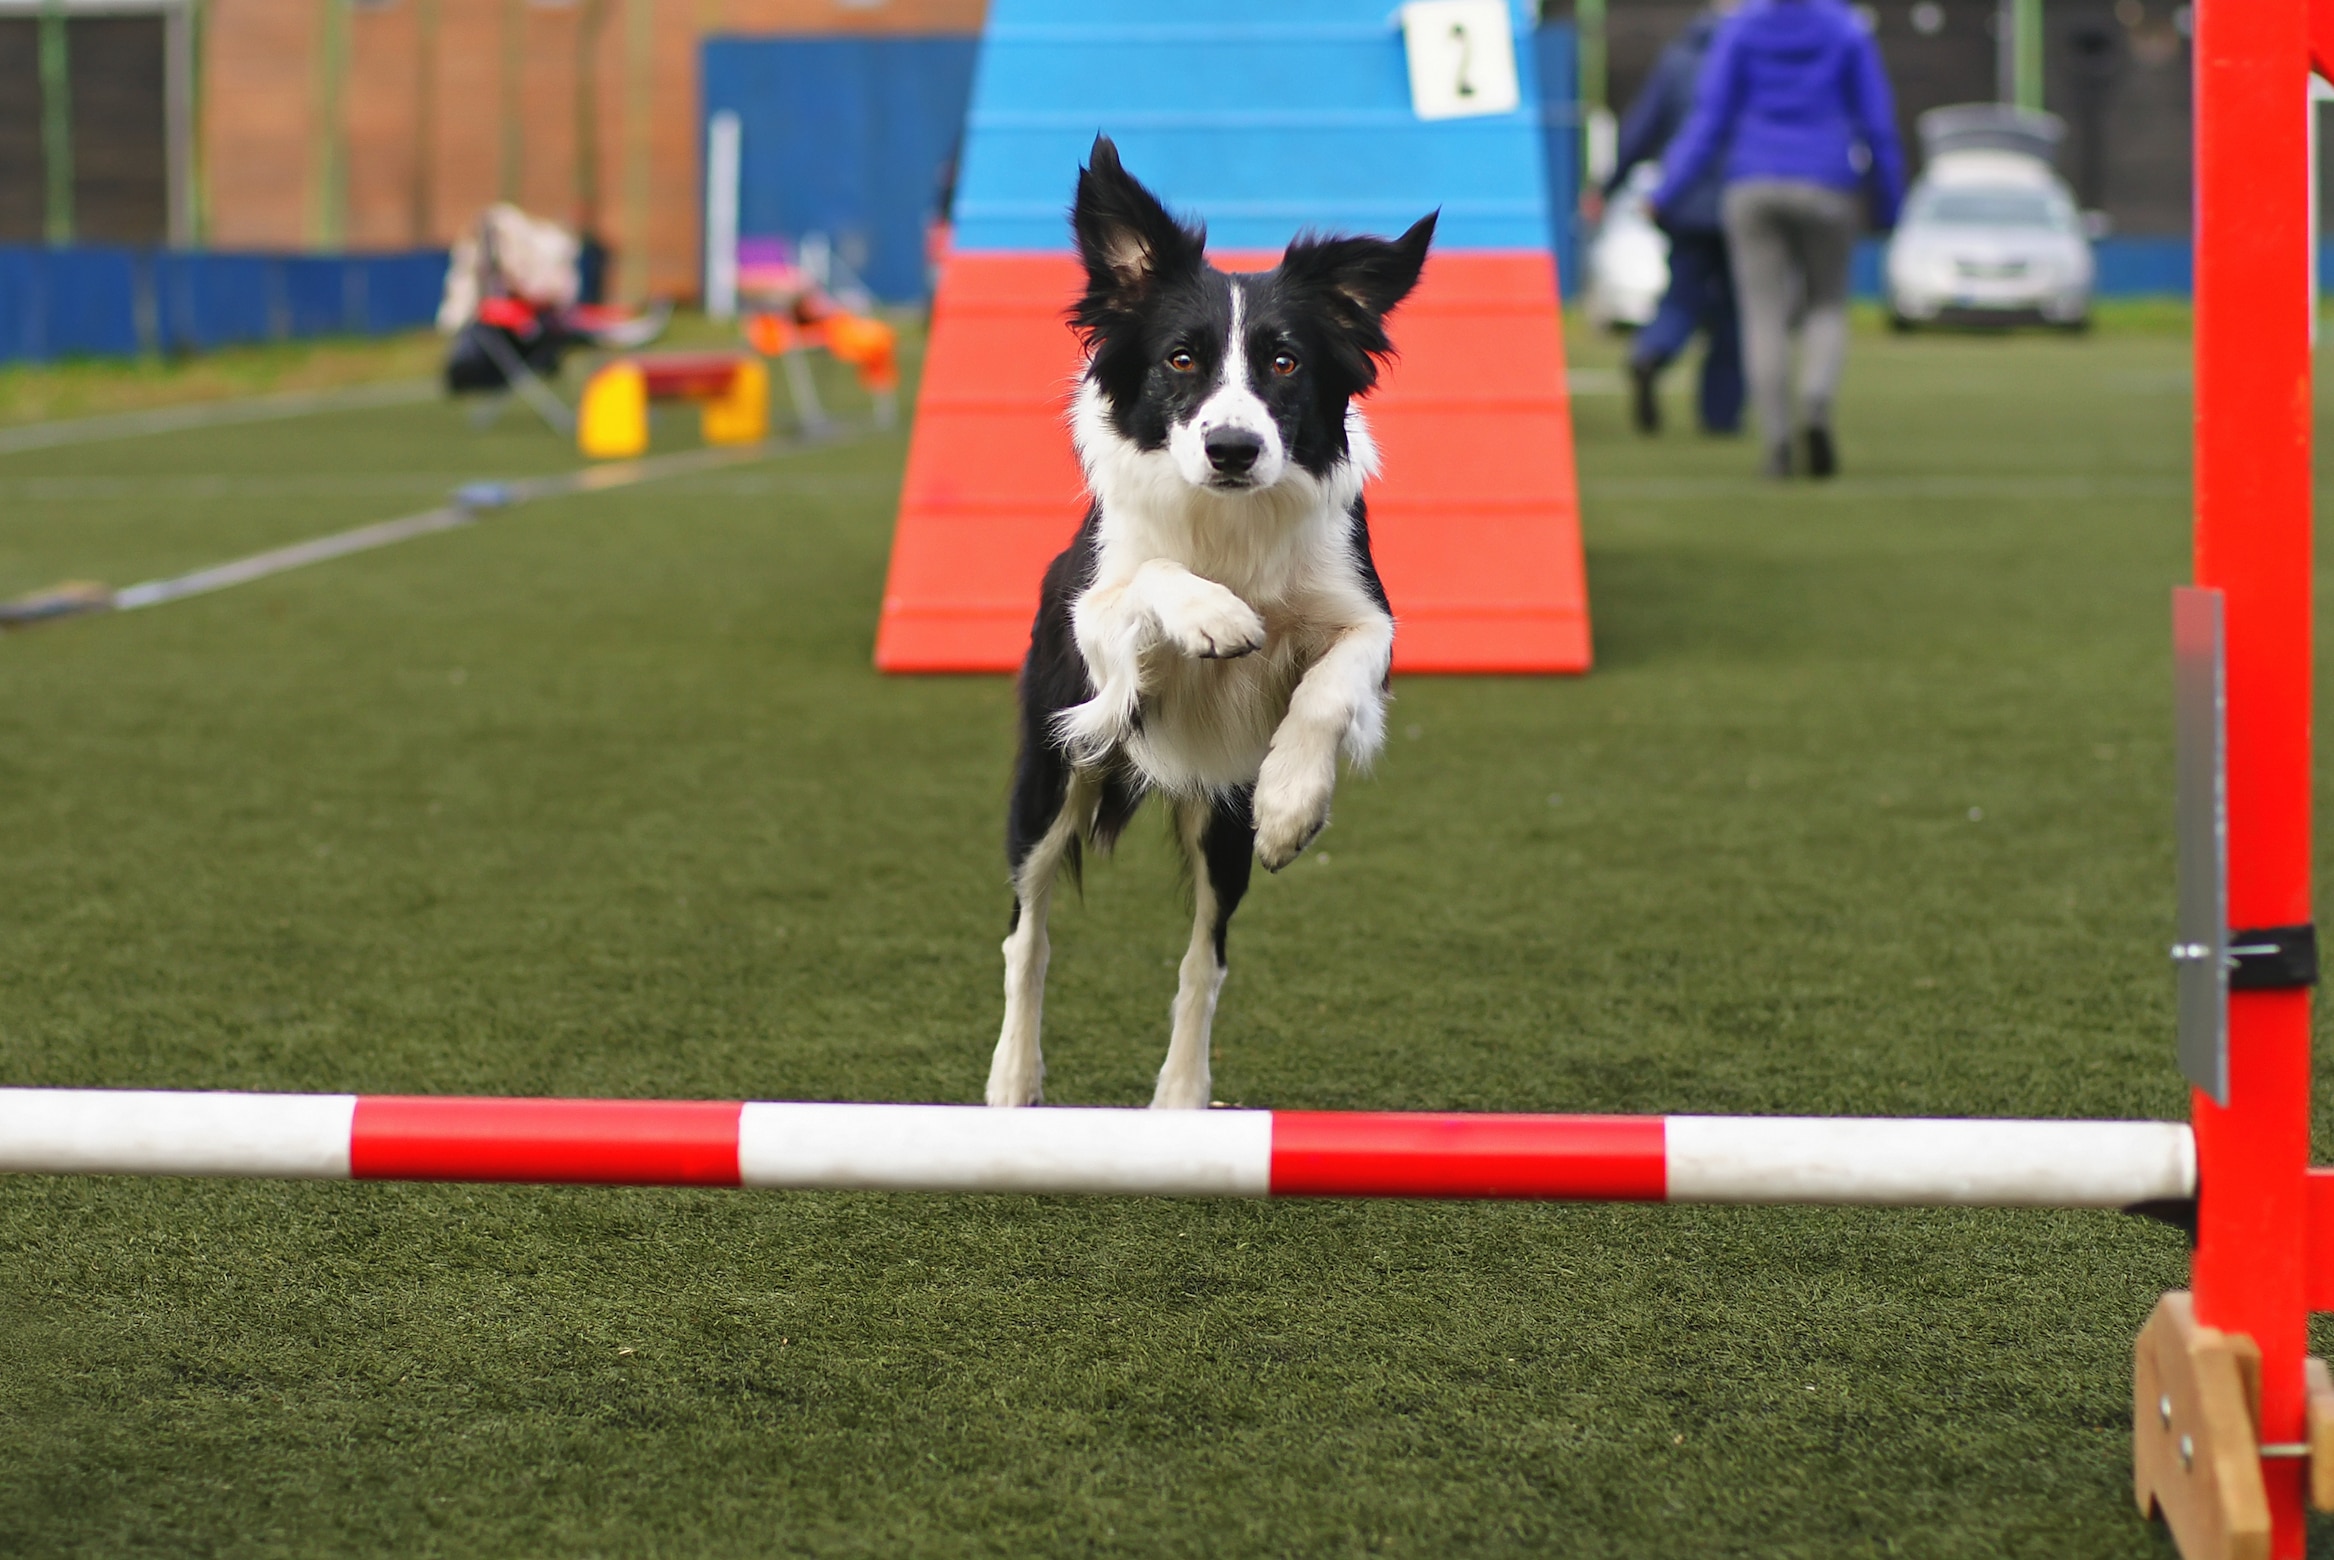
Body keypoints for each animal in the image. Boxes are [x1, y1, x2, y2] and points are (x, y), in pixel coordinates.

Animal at [980, 137, 1428, 1106]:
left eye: (1287, 362)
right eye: (1181, 360)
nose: (1233, 449)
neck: (1228, 522)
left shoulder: (1364, 612)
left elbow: (1331, 684)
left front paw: (1295, 804)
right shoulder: (1094, 621)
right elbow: (1152, 575)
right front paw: (1214, 613)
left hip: (1220, 820)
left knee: (1203, 958)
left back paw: (1183, 1094)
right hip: (1049, 779)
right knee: (1028, 934)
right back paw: (1013, 1078)